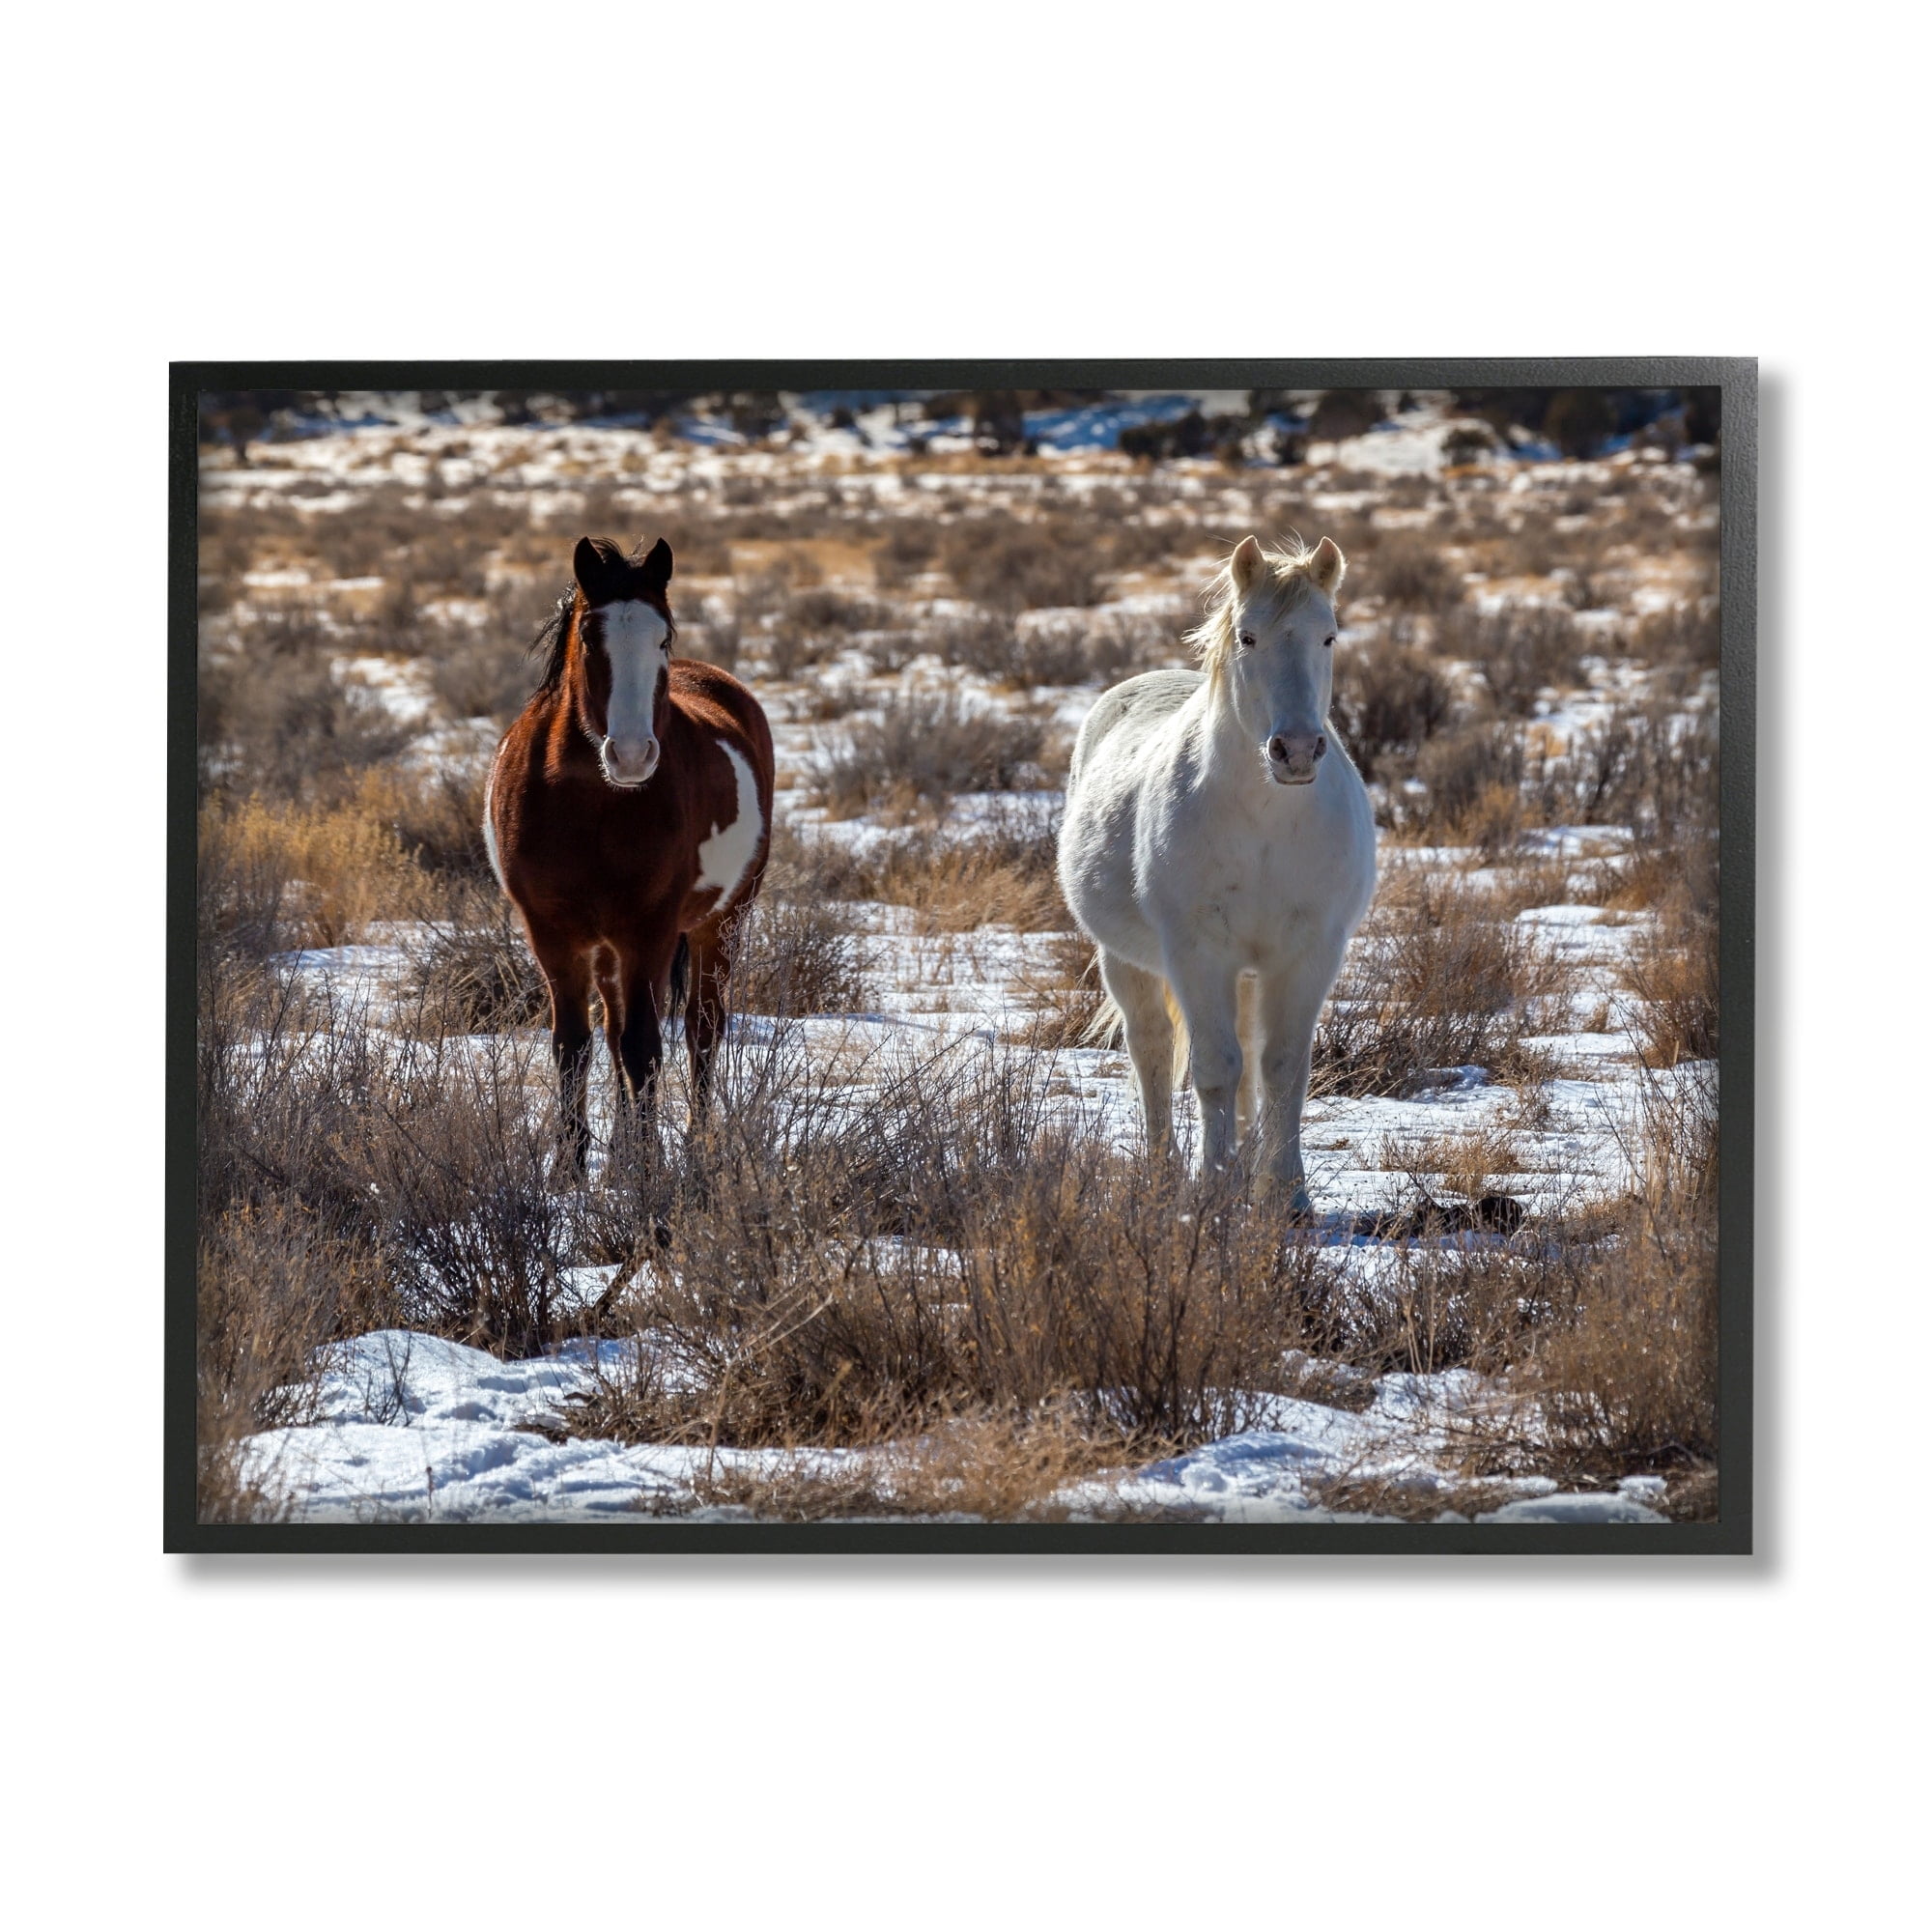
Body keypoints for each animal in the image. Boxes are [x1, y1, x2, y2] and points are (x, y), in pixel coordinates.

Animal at [486, 536, 776, 1169]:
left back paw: (691, 1146)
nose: (633, 754)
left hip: (722, 921)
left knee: (701, 1029)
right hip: (607, 947)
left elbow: (645, 1046)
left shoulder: (651, 929)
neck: (592, 804)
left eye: (662, 637)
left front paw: (647, 1169)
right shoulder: (552, 932)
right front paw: (572, 1168)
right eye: (589, 636)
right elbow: (575, 1044)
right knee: (616, 1028)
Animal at [1056, 535, 1377, 1213]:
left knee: (1251, 1059)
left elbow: (1282, 1067)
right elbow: (1214, 1068)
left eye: (1329, 636)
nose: (1297, 750)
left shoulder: (1309, 953)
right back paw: (1163, 1175)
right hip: (1125, 962)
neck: (1265, 822)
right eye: (1249, 637)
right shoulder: (1198, 954)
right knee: (1151, 1050)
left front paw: (1287, 1196)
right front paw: (1215, 1188)